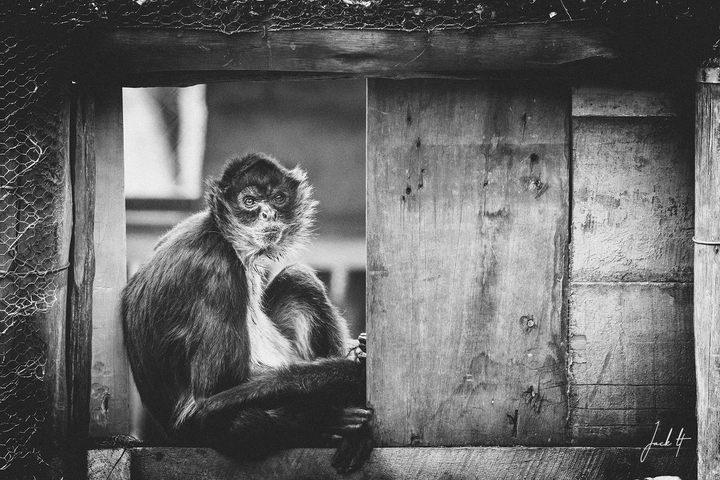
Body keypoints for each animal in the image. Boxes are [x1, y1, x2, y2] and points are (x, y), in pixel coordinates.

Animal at [121, 152, 372, 472]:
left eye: (278, 198)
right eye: (250, 202)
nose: (268, 214)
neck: (219, 235)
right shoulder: (217, 273)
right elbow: (215, 394)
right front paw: (350, 381)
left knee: (298, 278)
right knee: (243, 424)